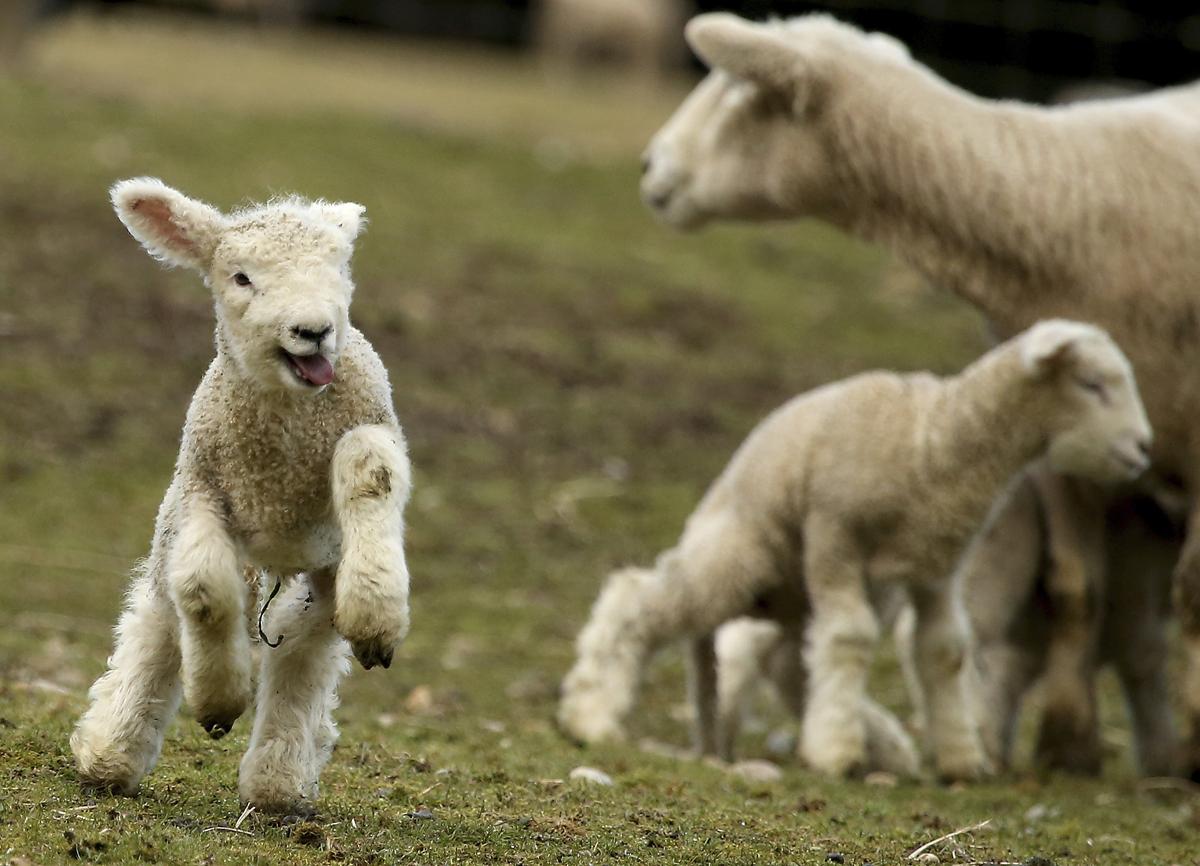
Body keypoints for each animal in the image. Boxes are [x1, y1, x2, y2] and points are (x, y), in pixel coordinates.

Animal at [73, 177, 417, 815]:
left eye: (338, 267)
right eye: (240, 277)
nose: (314, 331)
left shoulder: (369, 425)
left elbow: (369, 469)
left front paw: (377, 615)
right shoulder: (202, 490)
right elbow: (202, 589)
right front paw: (217, 699)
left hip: (320, 569)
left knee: (302, 651)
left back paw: (277, 783)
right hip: (177, 528)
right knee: (162, 622)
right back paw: (110, 756)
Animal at [556, 321, 1147, 777]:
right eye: (1093, 384)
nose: (1144, 449)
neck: (933, 440)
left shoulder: (935, 567)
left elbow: (945, 649)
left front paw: (961, 758)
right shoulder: (832, 534)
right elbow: (849, 637)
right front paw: (836, 752)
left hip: (808, 593)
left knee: (788, 663)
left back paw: (881, 743)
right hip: (745, 555)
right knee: (641, 598)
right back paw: (591, 712)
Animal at [638, 10, 1200, 777]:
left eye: (737, 93)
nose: (648, 165)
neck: (1065, 204)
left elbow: (1194, 594)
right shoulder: (1073, 449)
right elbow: (1075, 588)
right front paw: (1068, 740)